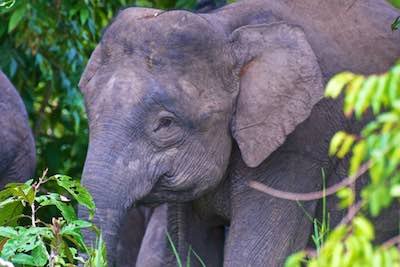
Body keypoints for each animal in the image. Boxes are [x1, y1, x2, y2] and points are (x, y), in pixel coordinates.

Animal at [77, 1, 400, 266]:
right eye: (90, 114)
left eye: (166, 124)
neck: (225, 29)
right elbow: (192, 251)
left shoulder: (303, 143)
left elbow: (259, 257)